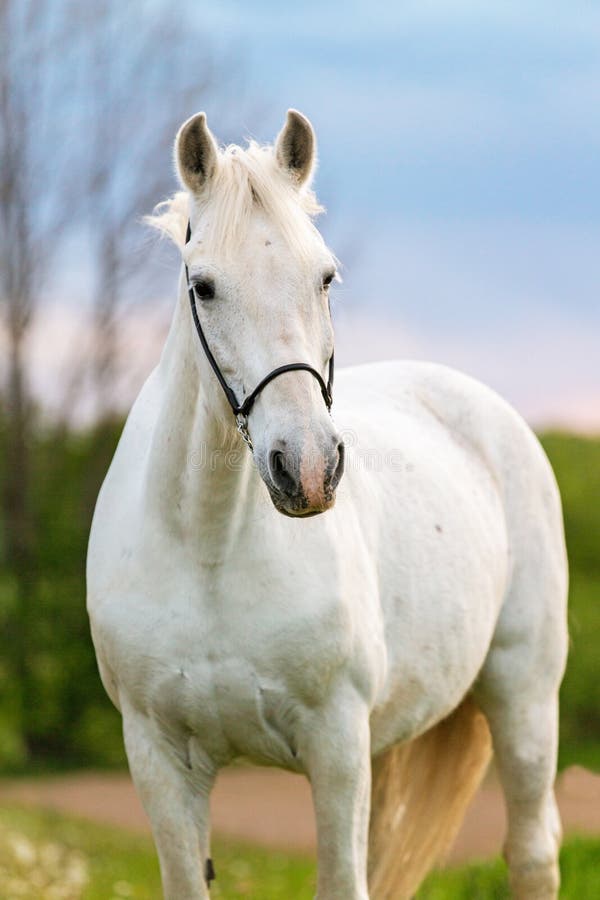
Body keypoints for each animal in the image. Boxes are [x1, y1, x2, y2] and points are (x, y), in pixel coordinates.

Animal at [87, 109, 568, 899]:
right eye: (204, 286)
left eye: (325, 276)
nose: (307, 469)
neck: (208, 551)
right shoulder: (156, 757)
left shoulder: (336, 745)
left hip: (523, 696)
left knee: (532, 852)